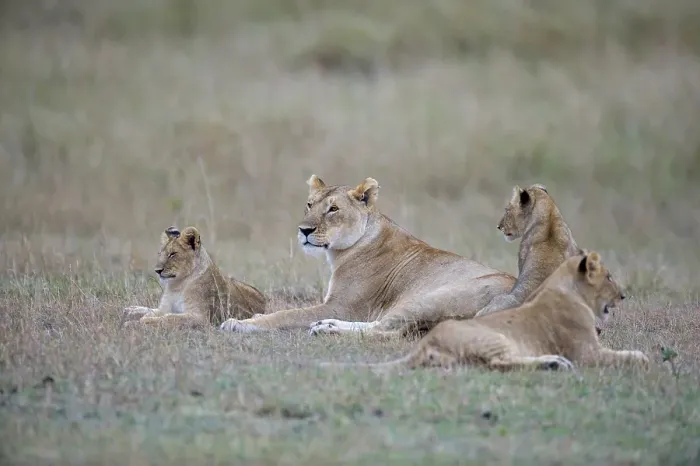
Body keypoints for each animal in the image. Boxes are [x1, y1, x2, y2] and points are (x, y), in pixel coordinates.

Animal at [123, 226, 267, 329]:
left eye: (173, 254)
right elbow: (157, 312)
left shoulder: (199, 317)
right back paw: (130, 310)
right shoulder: (165, 307)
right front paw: (136, 316)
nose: (157, 271)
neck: (177, 285)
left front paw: (138, 322)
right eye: (160, 254)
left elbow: (169, 318)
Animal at [219, 174, 516, 338]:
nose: (304, 230)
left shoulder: (342, 306)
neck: (341, 252)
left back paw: (327, 329)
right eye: (309, 204)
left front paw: (240, 323)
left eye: (333, 209)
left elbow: (287, 315)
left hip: (429, 298)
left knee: (387, 330)